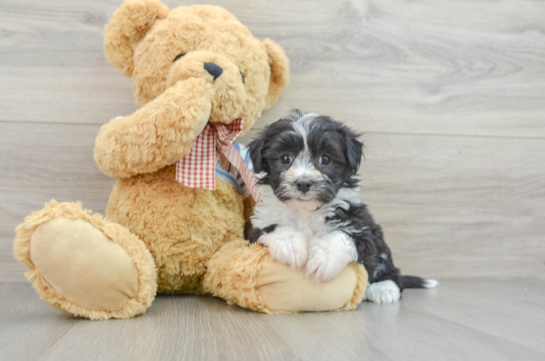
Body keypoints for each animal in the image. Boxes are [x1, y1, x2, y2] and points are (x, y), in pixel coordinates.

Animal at [244, 110, 436, 304]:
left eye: (325, 159)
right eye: (285, 158)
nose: (304, 183)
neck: (307, 211)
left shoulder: (360, 227)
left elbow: (341, 235)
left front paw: (323, 257)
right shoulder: (257, 228)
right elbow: (274, 227)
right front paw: (290, 245)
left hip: (379, 241)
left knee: (389, 268)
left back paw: (384, 288)